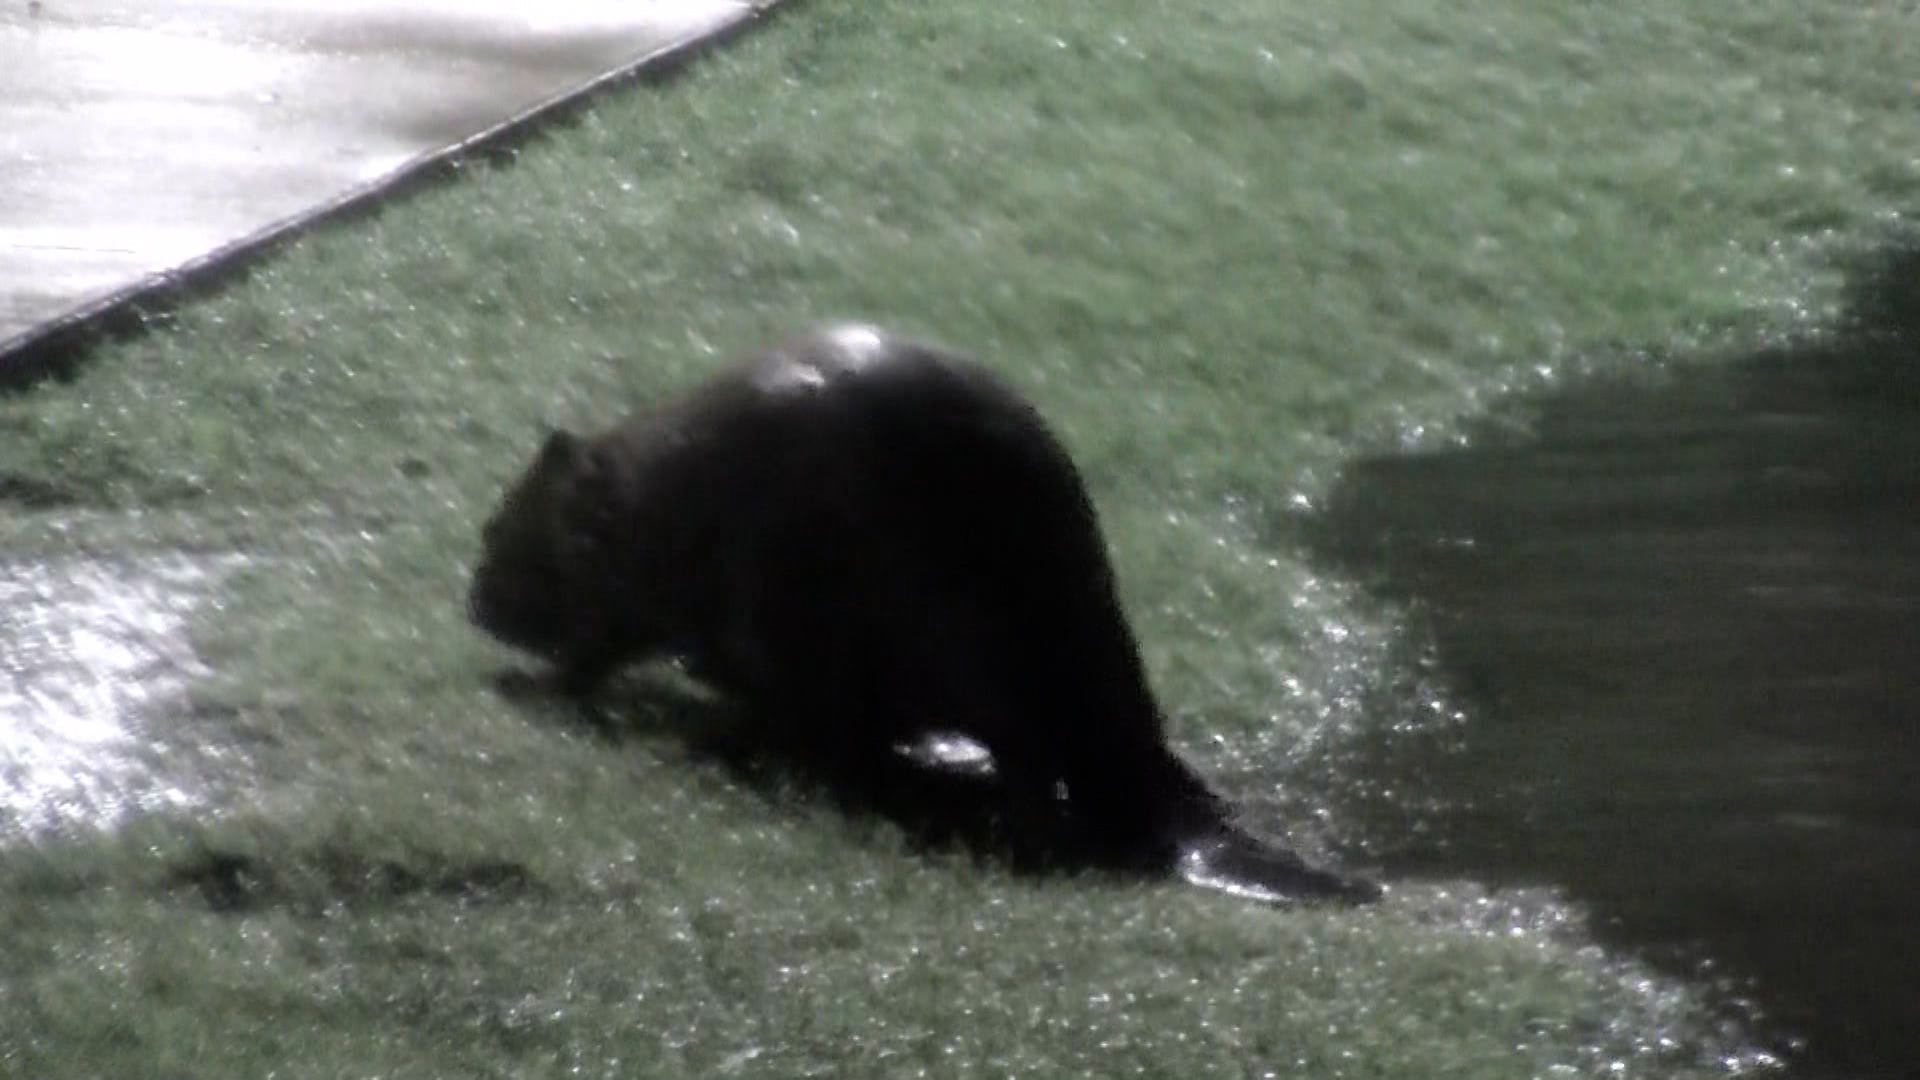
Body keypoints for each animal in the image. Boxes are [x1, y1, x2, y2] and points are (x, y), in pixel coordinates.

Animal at [472, 319, 1390, 899]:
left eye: (497, 531)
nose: (475, 602)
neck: (647, 492)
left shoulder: (651, 578)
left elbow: (599, 644)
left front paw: (532, 684)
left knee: (1010, 762)